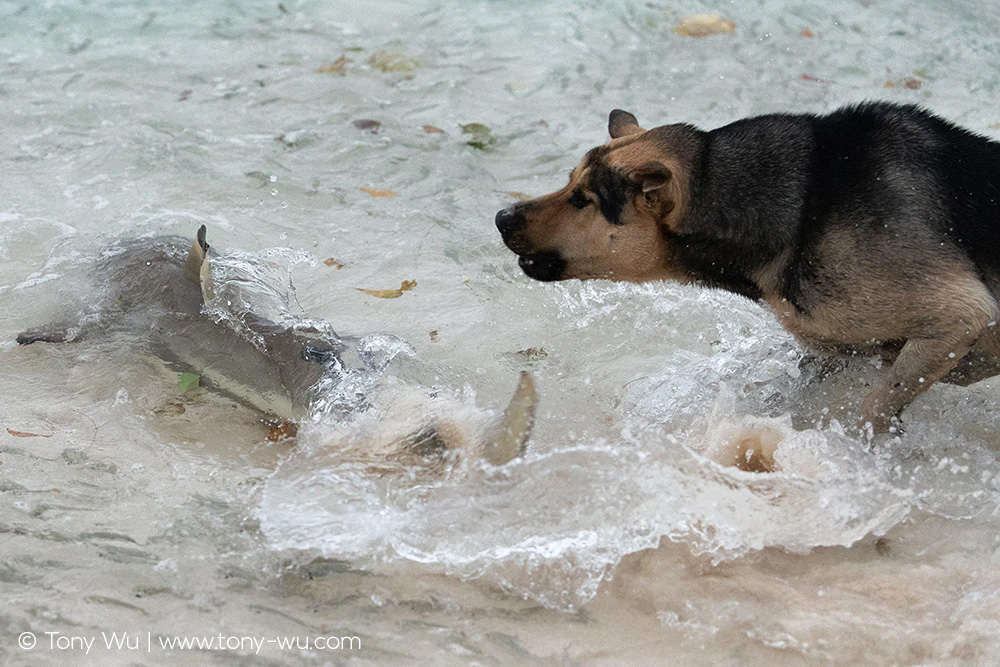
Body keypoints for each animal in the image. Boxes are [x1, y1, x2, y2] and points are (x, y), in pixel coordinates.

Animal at [500, 100, 1000, 434]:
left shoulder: (962, 318)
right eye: (568, 183)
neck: (805, 206)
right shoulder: (835, 347)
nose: (501, 217)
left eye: (582, 200)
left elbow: (874, 407)